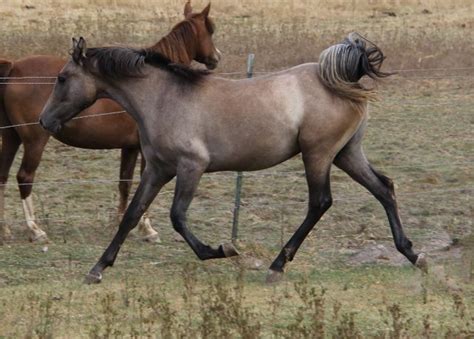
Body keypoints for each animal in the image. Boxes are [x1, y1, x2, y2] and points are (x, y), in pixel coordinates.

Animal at [0, 1, 219, 243]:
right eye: (211, 29)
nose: (216, 58)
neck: (152, 86)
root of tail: (13, 68)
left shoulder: (130, 148)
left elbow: (125, 183)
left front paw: (120, 223)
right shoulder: (147, 152)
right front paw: (147, 228)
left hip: (11, 137)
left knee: (3, 176)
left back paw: (5, 229)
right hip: (34, 140)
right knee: (24, 177)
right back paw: (35, 229)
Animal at [39, 33, 428, 284]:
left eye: (62, 78)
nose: (44, 121)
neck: (164, 99)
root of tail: (343, 80)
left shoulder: (191, 167)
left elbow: (177, 217)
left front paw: (223, 250)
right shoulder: (157, 169)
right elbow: (132, 215)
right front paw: (97, 269)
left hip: (318, 154)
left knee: (320, 202)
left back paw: (276, 266)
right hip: (346, 153)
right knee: (384, 188)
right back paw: (413, 254)